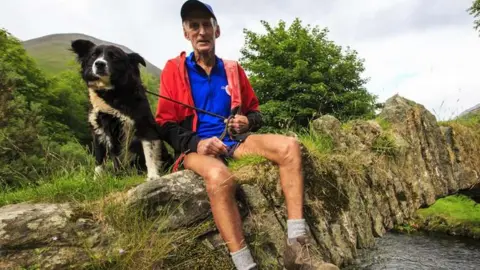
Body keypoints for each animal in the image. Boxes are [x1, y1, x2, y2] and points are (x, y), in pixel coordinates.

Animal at [68, 38, 172, 181]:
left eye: (114, 57)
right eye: (94, 55)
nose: (99, 64)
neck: (112, 93)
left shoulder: (144, 124)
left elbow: (149, 152)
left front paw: (153, 176)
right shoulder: (98, 130)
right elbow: (99, 159)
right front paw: (97, 180)